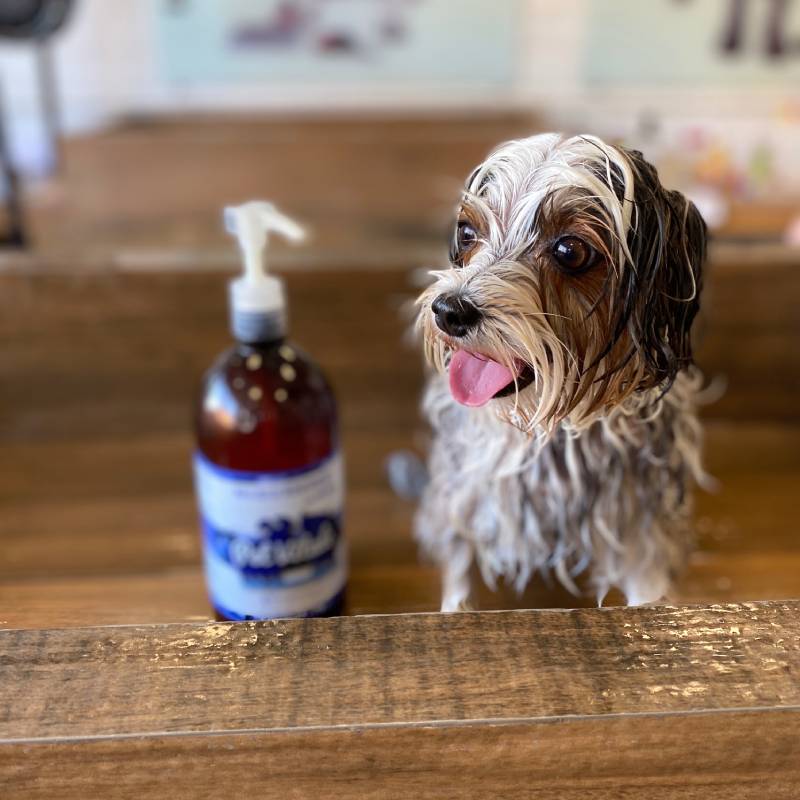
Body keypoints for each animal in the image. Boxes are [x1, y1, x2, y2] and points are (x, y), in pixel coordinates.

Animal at [416, 131, 708, 608]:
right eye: (467, 231)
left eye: (570, 250)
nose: (449, 310)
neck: (551, 433)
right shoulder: (464, 502)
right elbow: (458, 579)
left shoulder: (640, 533)